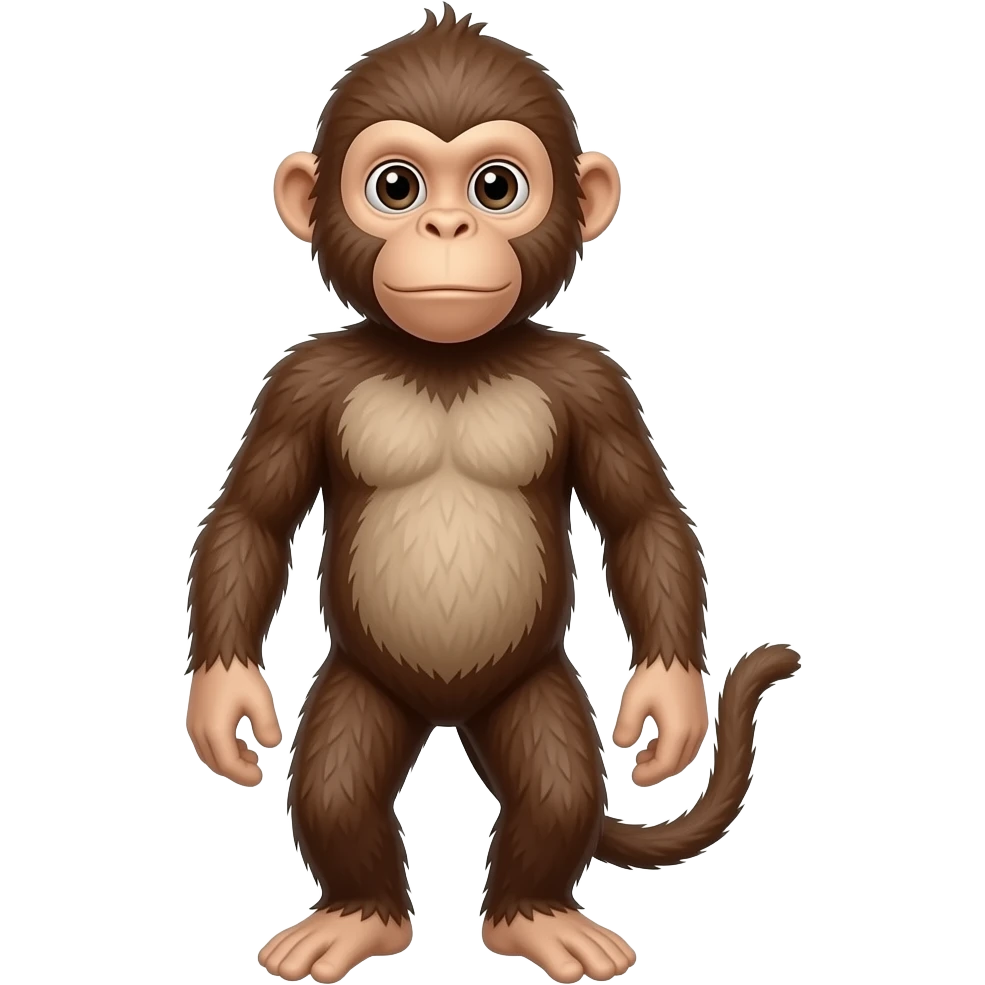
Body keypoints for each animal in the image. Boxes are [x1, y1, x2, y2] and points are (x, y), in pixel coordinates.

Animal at [183, 6, 802, 984]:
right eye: (396, 186)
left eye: (495, 186)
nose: (445, 226)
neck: (447, 358)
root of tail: (446, 712)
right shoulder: (297, 381)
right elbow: (253, 517)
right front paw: (223, 703)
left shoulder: (595, 382)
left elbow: (641, 517)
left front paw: (668, 705)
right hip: (363, 683)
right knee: (336, 784)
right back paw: (356, 915)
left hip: (533, 683)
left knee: (556, 785)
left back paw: (536, 916)